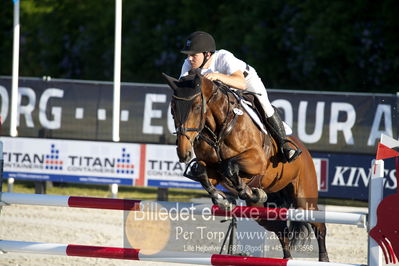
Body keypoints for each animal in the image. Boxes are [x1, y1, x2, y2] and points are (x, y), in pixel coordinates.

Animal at [164, 71, 330, 262]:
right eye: (172, 108)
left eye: (197, 107)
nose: (183, 153)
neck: (219, 129)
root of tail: (304, 149)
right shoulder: (213, 171)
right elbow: (202, 172)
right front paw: (224, 199)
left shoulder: (257, 160)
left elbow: (229, 166)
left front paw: (245, 191)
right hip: (264, 211)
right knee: (281, 230)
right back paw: (287, 257)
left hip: (304, 200)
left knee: (319, 225)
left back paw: (324, 259)